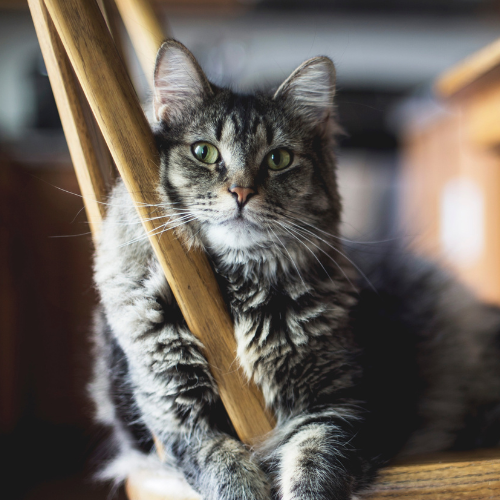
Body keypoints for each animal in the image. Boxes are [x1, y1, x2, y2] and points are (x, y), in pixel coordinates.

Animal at [91, 39, 500, 500]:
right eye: (204, 152)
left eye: (278, 159)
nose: (241, 192)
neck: (238, 291)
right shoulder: (176, 416)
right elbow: (220, 464)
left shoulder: (346, 405)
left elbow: (314, 464)